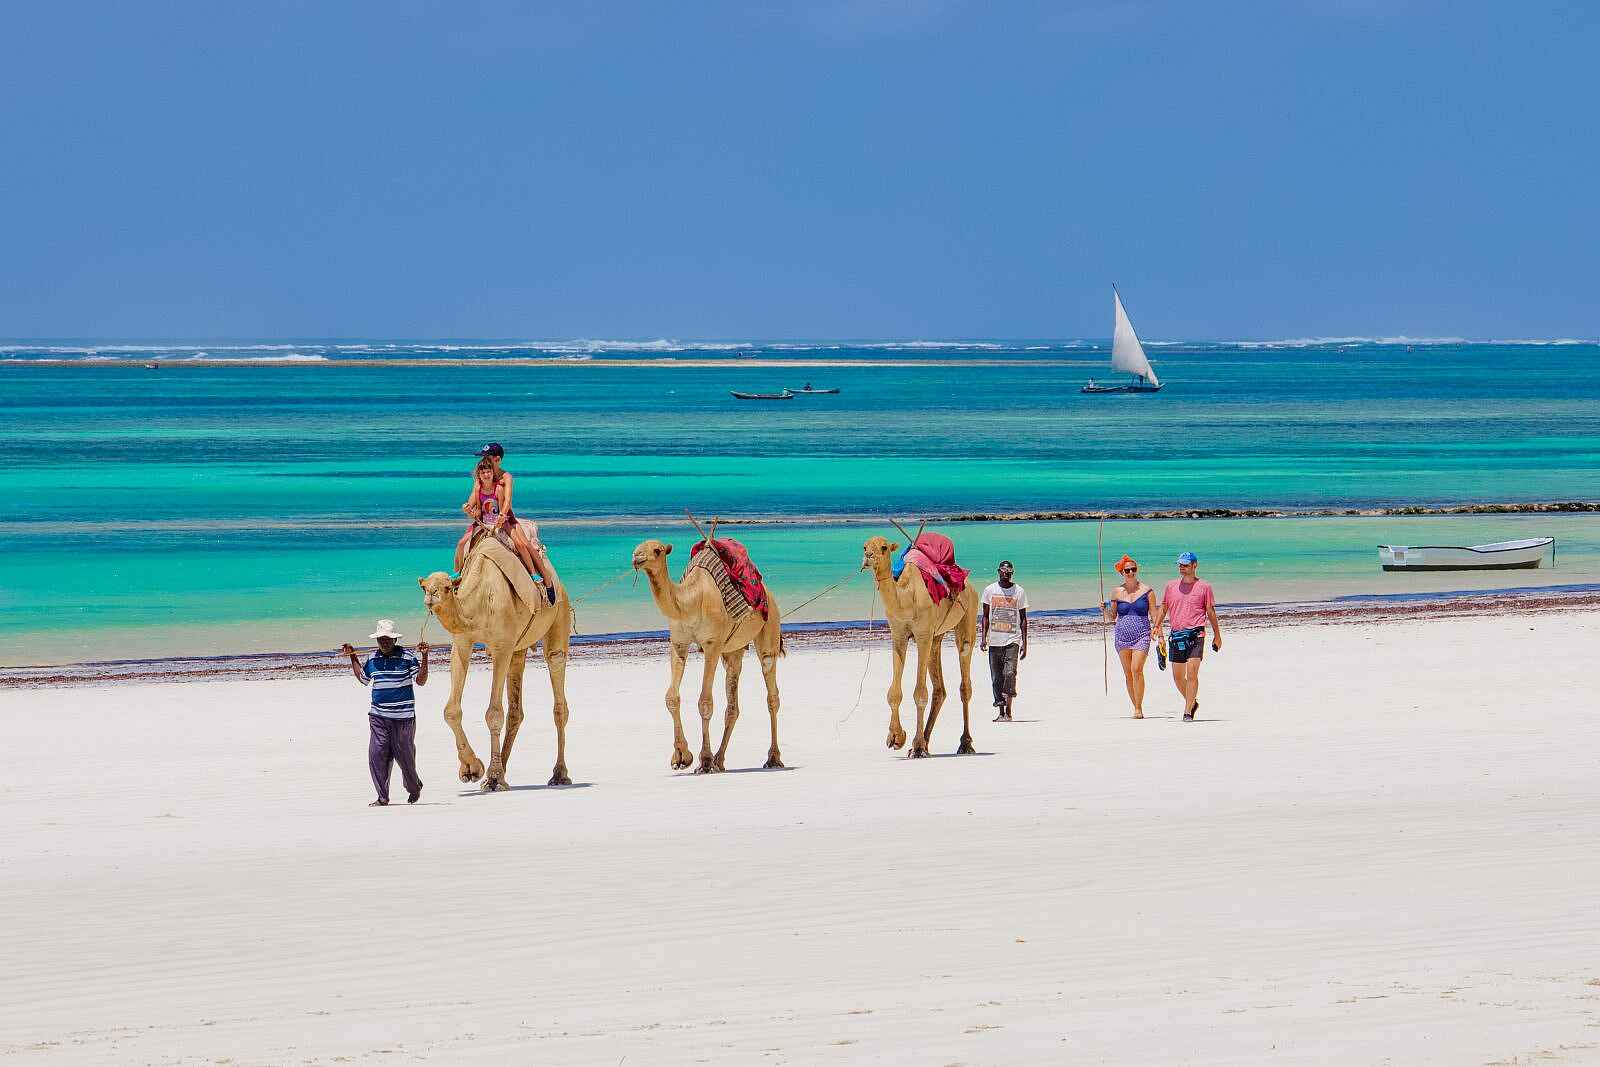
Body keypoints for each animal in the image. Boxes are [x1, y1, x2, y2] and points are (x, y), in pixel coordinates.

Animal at [418, 533, 573, 791]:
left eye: (448, 587)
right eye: (424, 586)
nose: (432, 595)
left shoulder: (502, 646)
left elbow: (493, 713)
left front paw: (488, 775)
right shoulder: (462, 642)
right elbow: (451, 710)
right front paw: (472, 769)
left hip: (558, 616)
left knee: (557, 684)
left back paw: (559, 775)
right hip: (518, 648)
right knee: (516, 710)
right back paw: (499, 770)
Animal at [631, 538, 784, 773]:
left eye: (657, 550)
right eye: (637, 547)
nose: (636, 558)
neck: (690, 602)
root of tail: (769, 594)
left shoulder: (712, 645)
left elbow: (705, 701)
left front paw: (703, 760)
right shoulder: (679, 643)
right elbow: (671, 697)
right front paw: (681, 756)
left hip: (770, 628)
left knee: (772, 693)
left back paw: (773, 758)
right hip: (732, 650)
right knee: (733, 702)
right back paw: (719, 760)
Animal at [861, 535, 979, 758]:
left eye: (884, 547)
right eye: (864, 546)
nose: (868, 557)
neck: (905, 598)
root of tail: (971, 585)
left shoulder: (923, 635)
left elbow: (920, 693)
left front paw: (914, 745)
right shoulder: (898, 635)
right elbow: (894, 693)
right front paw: (896, 738)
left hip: (969, 616)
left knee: (965, 676)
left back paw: (965, 744)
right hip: (937, 636)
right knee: (939, 689)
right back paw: (925, 742)